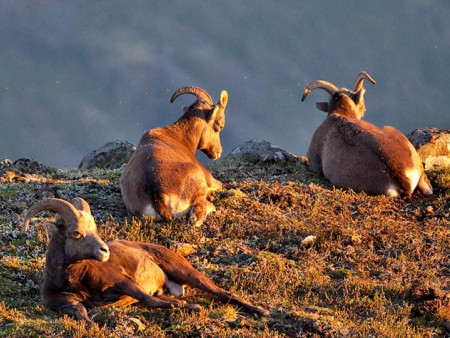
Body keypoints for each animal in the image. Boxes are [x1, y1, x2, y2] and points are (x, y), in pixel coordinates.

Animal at [22, 197, 268, 326]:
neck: (77, 280)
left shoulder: (123, 282)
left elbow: (149, 300)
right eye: (76, 233)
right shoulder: (64, 301)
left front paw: (194, 307)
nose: (104, 251)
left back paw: (261, 312)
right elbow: (80, 311)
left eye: (95, 229)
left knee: (223, 293)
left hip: (187, 273)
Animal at [120, 86, 227, 227]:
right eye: (219, 126)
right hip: (198, 179)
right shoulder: (208, 178)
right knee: (196, 214)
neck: (178, 137)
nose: (218, 152)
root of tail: (158, 196)